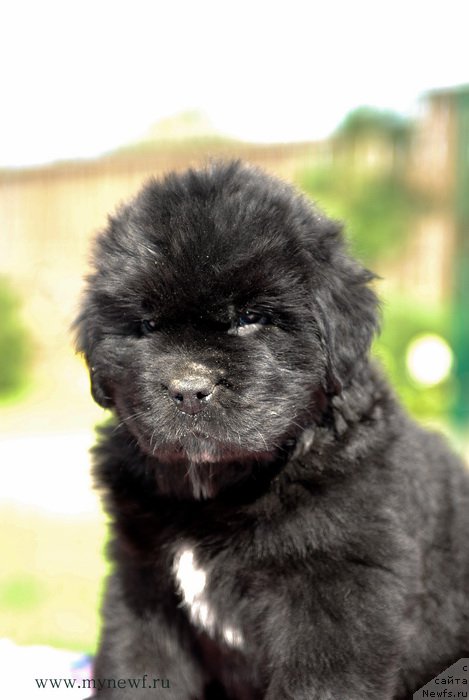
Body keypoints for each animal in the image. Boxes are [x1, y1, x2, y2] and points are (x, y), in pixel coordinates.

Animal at [76, 161, 468, 696]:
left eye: (250, 318)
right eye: (148, 325)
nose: (189, 388)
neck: (217, 490)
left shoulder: (335, 598)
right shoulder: (143, 585)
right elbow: (138, 668)